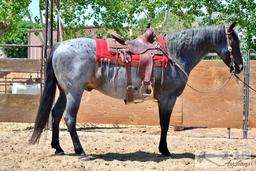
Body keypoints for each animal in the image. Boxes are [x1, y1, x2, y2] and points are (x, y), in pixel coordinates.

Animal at [29, 22, 242, 159]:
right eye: (235, 42)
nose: (239, 67)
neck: (175, 53)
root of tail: (59, 46)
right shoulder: (167, 98)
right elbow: (164, 124)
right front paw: (165, 150)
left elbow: (163, 124)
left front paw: (163, 149)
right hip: (74, 92)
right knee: (69, 118)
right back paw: (80, 151)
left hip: (64, 92)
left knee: (56, 114)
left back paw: (58, 148)